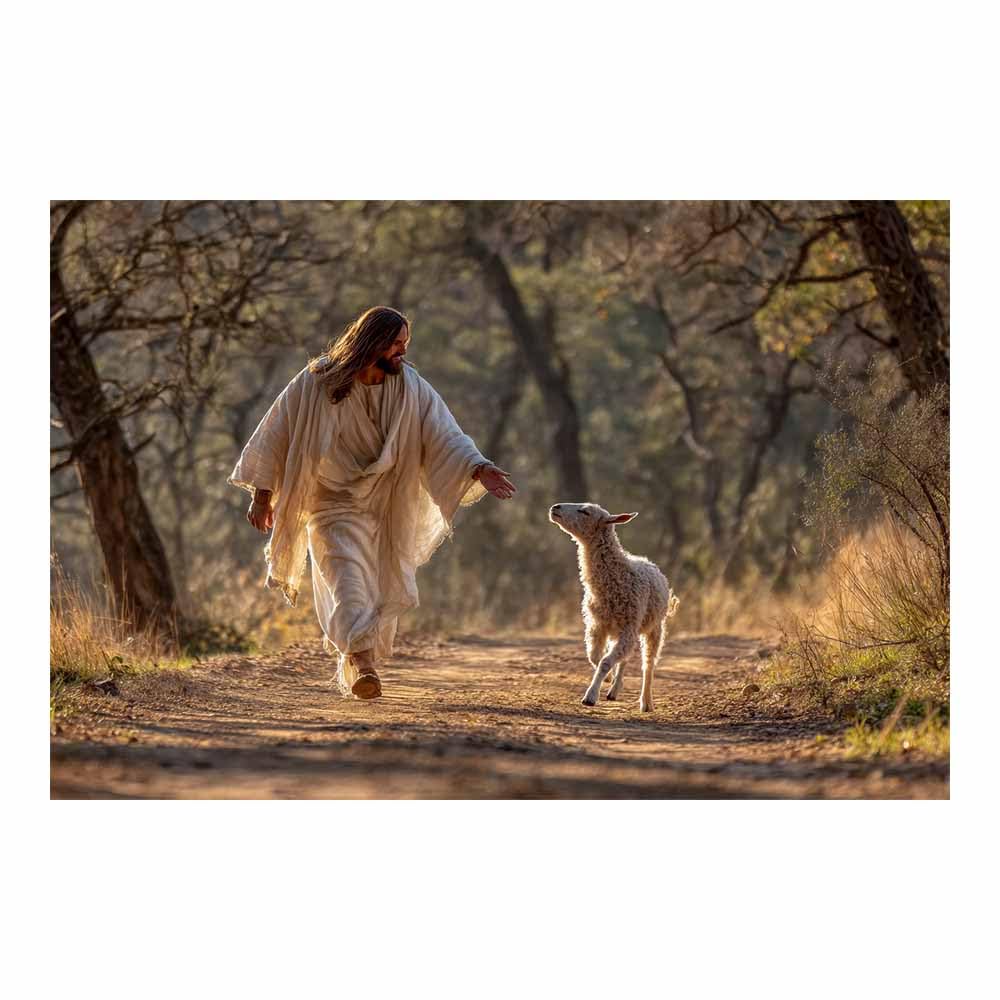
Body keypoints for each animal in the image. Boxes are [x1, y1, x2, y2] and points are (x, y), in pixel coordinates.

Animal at [549, 502, 680, 712]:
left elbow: (605, 661)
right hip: (621, 630)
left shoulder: (628, 627)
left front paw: (590, 696)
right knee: (624, 658)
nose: (555, 508)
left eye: (585, 511)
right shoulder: (597, 625)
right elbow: (595, 657)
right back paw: (615, 689)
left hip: (653, 627)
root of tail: (647, 561)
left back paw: (646, 701)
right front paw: (607, 679)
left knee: (648, 664)